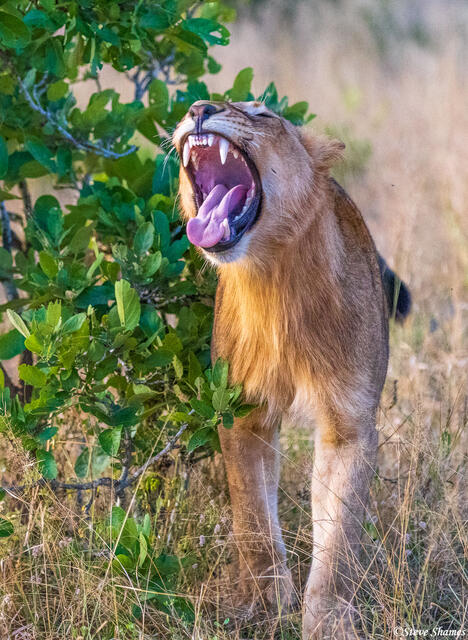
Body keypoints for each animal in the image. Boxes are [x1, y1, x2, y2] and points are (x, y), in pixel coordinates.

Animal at [173, 101, 411, 639]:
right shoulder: (241, 413)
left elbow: (339, 538)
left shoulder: (350, 424)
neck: (274, 279)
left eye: (261, 113)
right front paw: (267, 604)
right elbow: (253, 519)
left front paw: (327, 620)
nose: (198, 108)